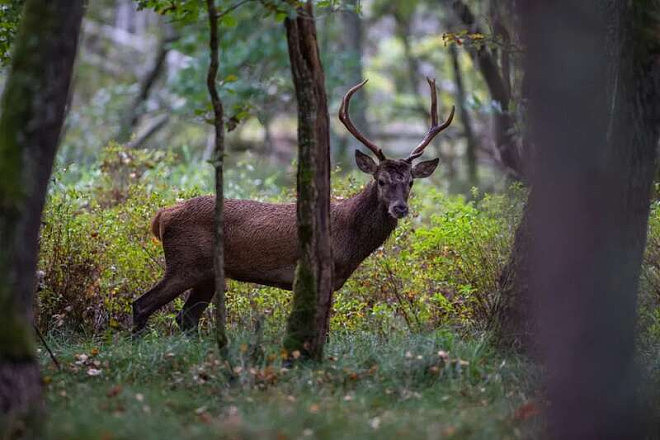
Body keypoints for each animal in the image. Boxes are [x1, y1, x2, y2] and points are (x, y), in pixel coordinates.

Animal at [133, 78, 454, 334]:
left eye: (410, 182)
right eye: (381, 180)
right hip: (184, 263)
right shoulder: (323, 273)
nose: (400, 209)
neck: (349, 240)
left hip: (207, 273)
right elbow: (323, 329)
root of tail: (162, 215)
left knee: (185, 318)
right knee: (142, 305)